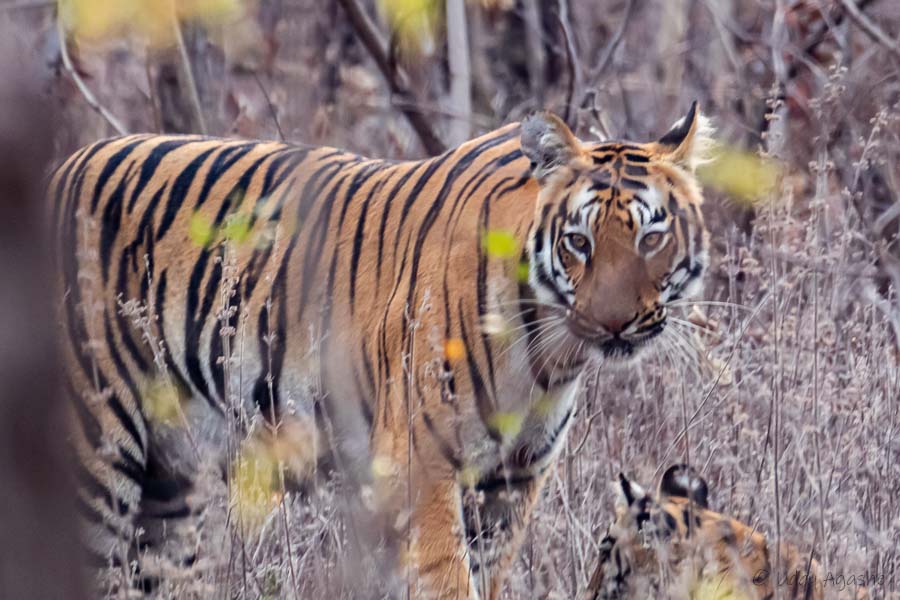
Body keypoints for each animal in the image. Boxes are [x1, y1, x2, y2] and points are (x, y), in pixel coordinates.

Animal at [51, 101, 712, 596]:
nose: (614, 324)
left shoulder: (511, 483)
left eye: (651, 238)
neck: (548, 357)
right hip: (95, 463)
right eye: (578, 241)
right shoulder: (424, 468)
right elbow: (446, 581)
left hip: (170, 488)